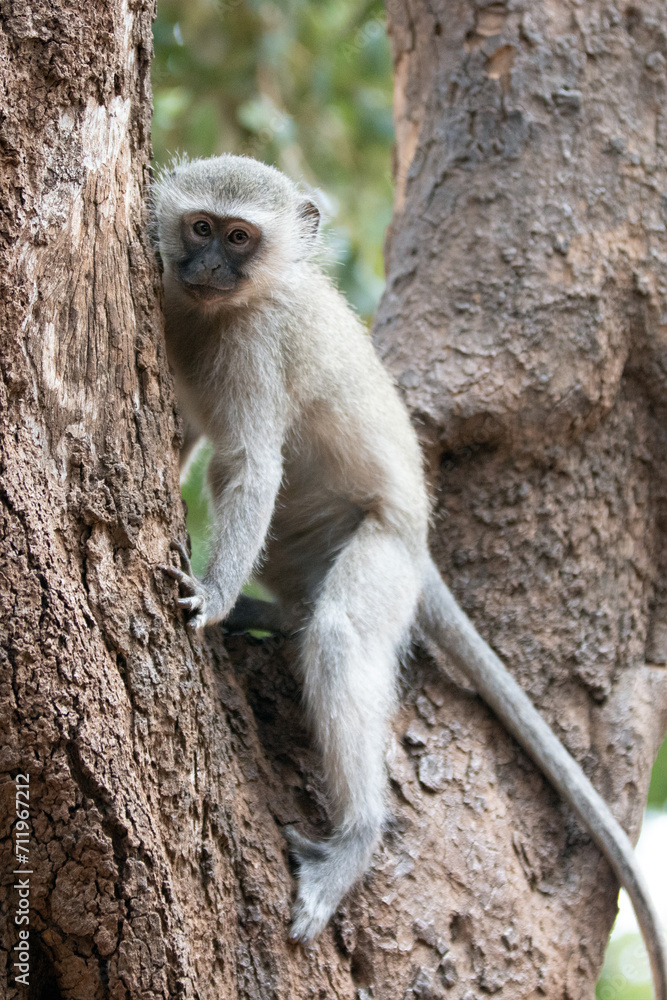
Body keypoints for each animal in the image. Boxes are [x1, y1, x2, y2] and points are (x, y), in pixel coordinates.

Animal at [153, 154, 666, 996]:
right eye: (199, 227)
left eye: (238, 238)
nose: (205, 267)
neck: (218, 310)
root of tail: (419, 549)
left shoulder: (259, 343)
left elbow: (250, 466)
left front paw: (216, 596)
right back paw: (272, 620)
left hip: (384, 557)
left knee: (337, 632)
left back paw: (356, 836)